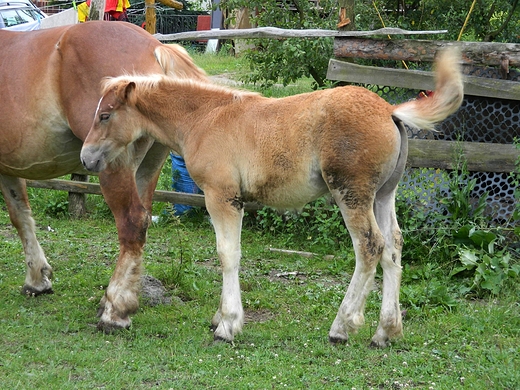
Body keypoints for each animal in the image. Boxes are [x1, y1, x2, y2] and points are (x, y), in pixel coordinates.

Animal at [0, 20, 207, 332]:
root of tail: (155, 46)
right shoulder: (9, 168)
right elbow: (21, 215)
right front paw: (37, 279)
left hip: (112, 168)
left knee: (132, 223)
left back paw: (115, 310)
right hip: (147, 166)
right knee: (143, 222)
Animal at [79, 49, 462, 348]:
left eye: (105, 115)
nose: (86, 158)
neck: (204, 117)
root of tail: (389, 111)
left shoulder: (222, 197)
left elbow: (228, 255)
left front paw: (228, 324)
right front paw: (220, 317)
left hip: (352, 194)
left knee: (370, 247)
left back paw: (342, 327)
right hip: (383, 195)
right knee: (394, 247)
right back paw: (386, 332)